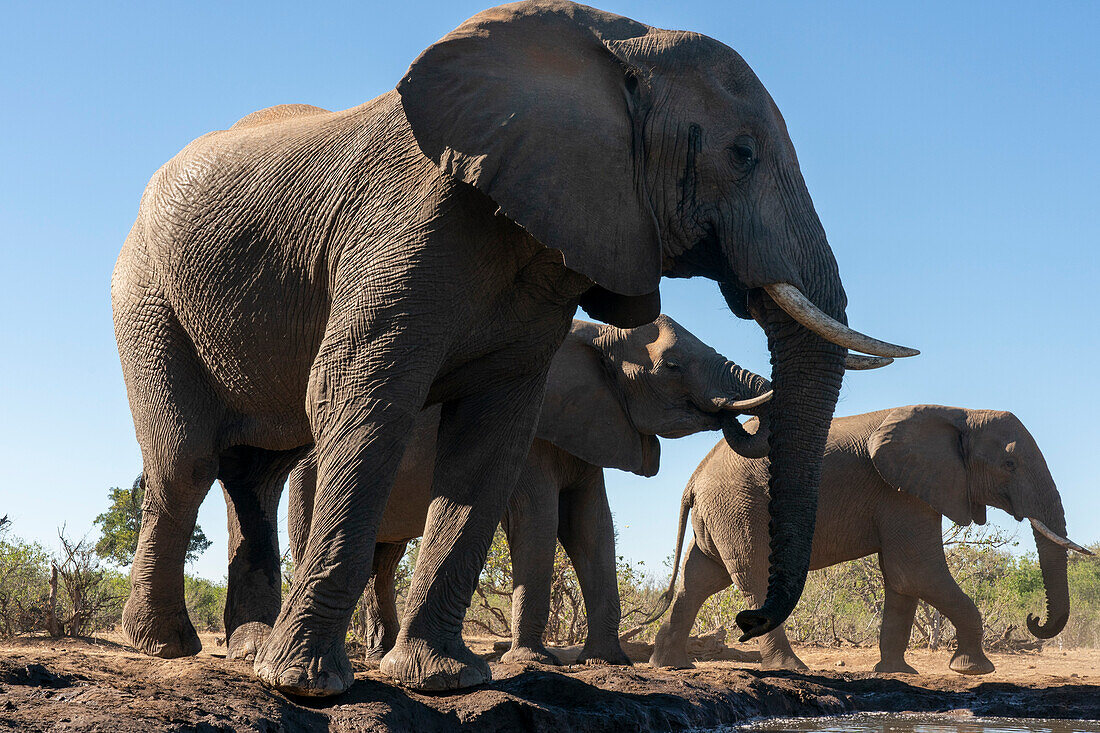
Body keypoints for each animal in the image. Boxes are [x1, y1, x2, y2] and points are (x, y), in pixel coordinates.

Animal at [286, 314, 774, 669]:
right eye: (672, 367)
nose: (729, 418)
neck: (596, 336)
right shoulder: (533, 428)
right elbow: (541, 518)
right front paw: (533, 661)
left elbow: (591, 524)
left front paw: (609, 662)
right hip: (310, 471)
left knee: (385, 557)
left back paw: (379, 654)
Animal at [646, 405, 1086, 673]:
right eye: (1009, 464)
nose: (1033, 619)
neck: (959, 411)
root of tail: (694, 479)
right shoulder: (901, 492)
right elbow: (917, 572)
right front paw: (974, 670)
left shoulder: (906, 491)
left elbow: (902, 580)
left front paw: (896, 672)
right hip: (741, 509)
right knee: (751, 579)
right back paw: (791, 668)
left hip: (723, 515)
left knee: (700, 579)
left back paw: (670, 665)